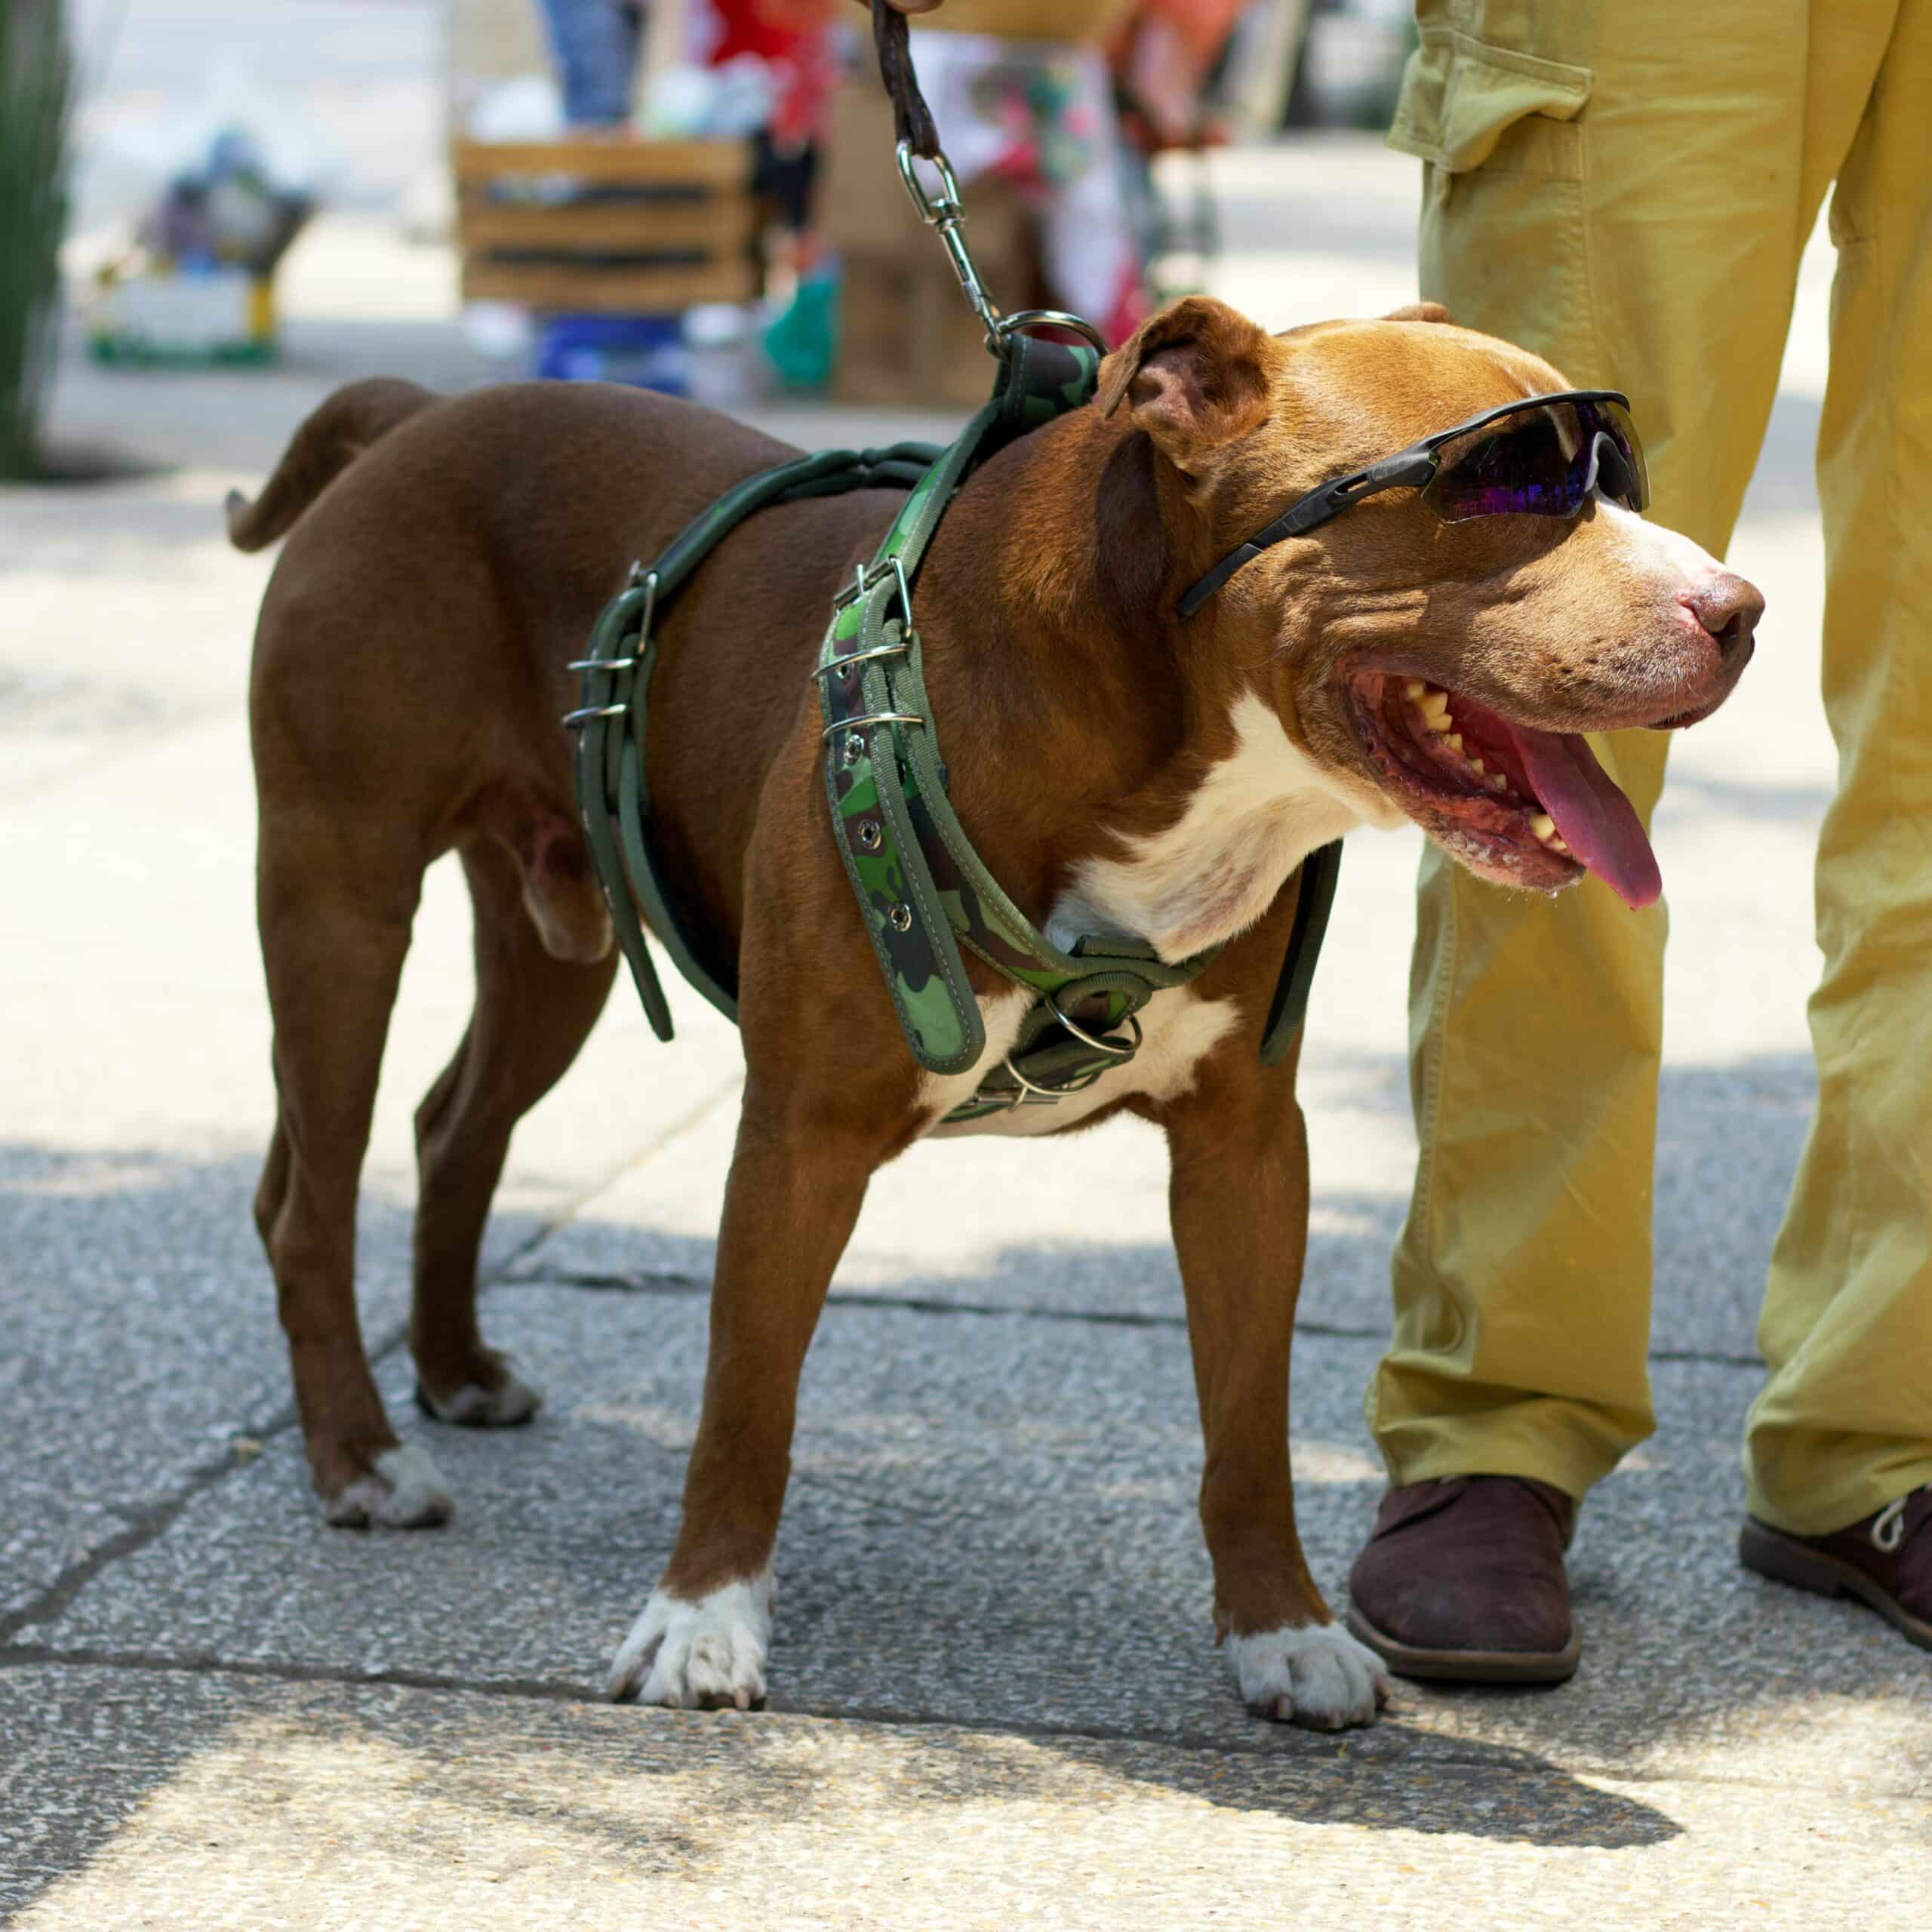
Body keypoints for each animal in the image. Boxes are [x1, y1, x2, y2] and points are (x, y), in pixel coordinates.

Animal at [233, 294, 1761, 1730]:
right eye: (1510, 482)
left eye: (1616, 471)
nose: (1738, 609)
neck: (1163, 731)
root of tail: (414, 413)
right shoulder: (799, 1137)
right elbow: (747, 1397)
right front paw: (699, 1623)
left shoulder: (1247, 1146)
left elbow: (1248, 1419)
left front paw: (1282, 1631)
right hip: (338, 898)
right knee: (311, 1195)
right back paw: (362, 1461)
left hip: (558, 932)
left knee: (454, 1127)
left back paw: (454, 1370)